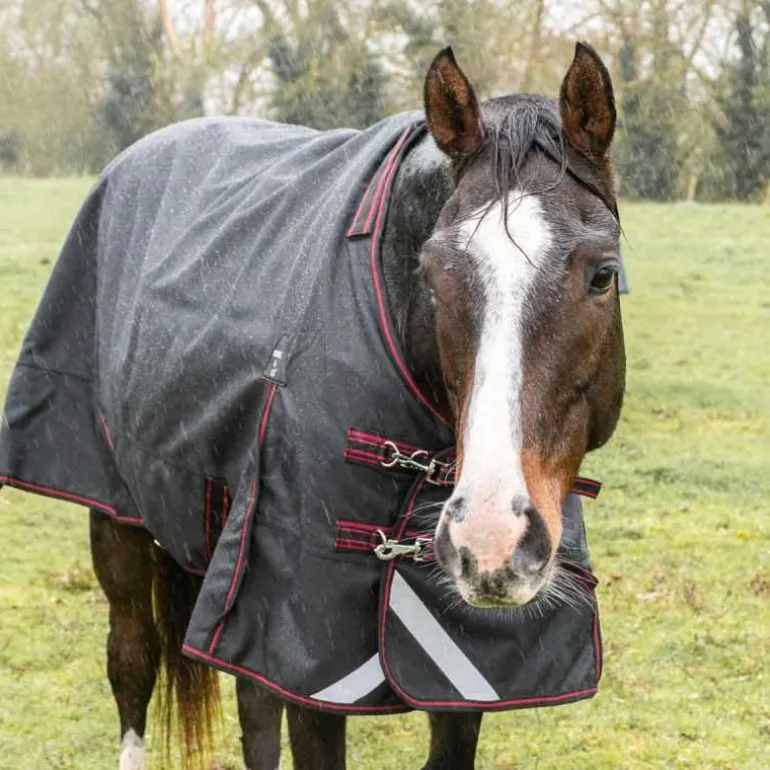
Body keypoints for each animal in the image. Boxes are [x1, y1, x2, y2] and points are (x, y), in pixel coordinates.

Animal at [0, 42, 625, 769]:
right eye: (433, 275)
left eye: (603, 275)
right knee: (132, 663)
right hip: (118, 521)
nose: (490, 544)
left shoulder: (463, 676)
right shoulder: (310, 660)